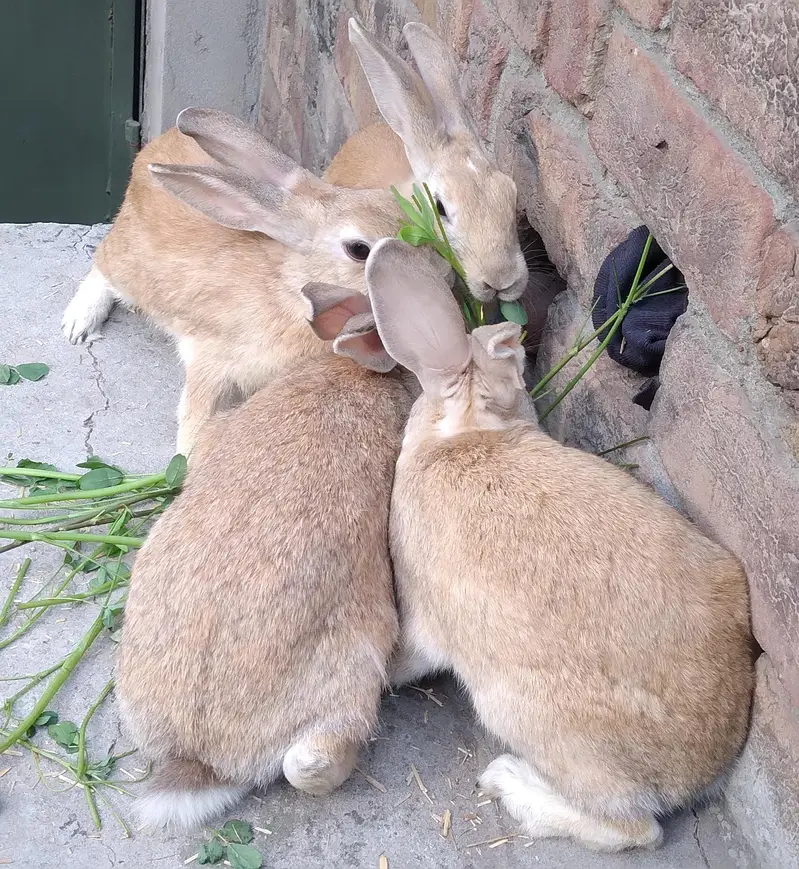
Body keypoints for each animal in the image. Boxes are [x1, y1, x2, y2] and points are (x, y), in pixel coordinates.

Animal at [61, 108, 405, 455]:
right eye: (359, 250)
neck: (290, 288)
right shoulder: (212, 364)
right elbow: (196, 417)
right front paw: (187, 453)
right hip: (125, 264)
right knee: (100, 266)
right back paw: (78, 325)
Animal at [361, 238, 755, 853]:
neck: (464, 431)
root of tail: (703, 769)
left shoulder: (424, 615)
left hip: (525, 714)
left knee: (633, 829)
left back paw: (509, 782)